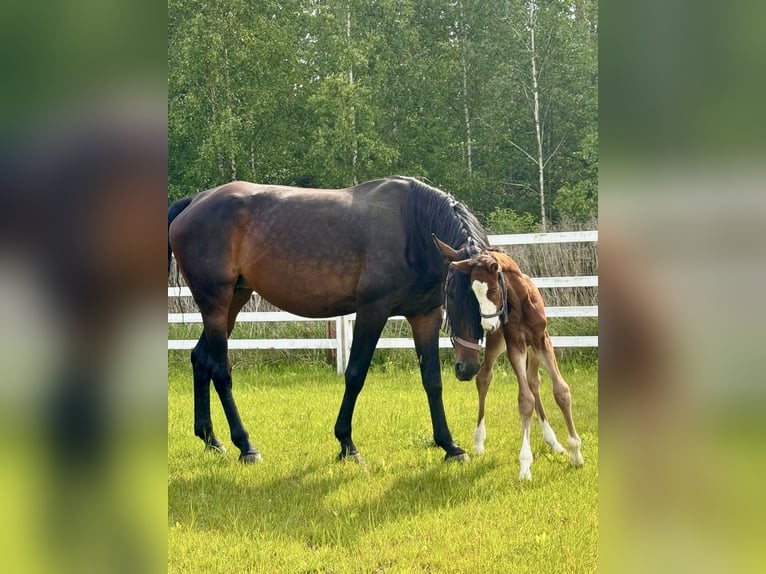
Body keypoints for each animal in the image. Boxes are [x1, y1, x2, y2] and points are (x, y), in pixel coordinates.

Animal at [170, 178, 492, 466]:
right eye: (453, 292)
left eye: (495, 293)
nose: (468, 367)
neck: (412, 229)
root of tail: (194, 201)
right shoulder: (372, 312)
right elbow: (355, 375)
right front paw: (347, 444)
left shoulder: (425, 315)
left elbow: (432, 381)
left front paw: (450, 445)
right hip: (215, 303)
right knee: (220, 370)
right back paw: (245, 446)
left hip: (234, 301)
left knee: (200, 359)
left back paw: (211, 440)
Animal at [436, 243, 584, 482]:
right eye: (474, 295)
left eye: (494, 290)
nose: (488, 325)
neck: (522, 301)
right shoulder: (515, 344)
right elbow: (525, 400)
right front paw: (525, 465)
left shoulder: (542, 340)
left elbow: (561, 391)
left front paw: (576, 453)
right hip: (498, 344)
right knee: (484, 377)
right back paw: (479, 442)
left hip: (533, 350)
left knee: (534, 382)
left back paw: (554, 442)